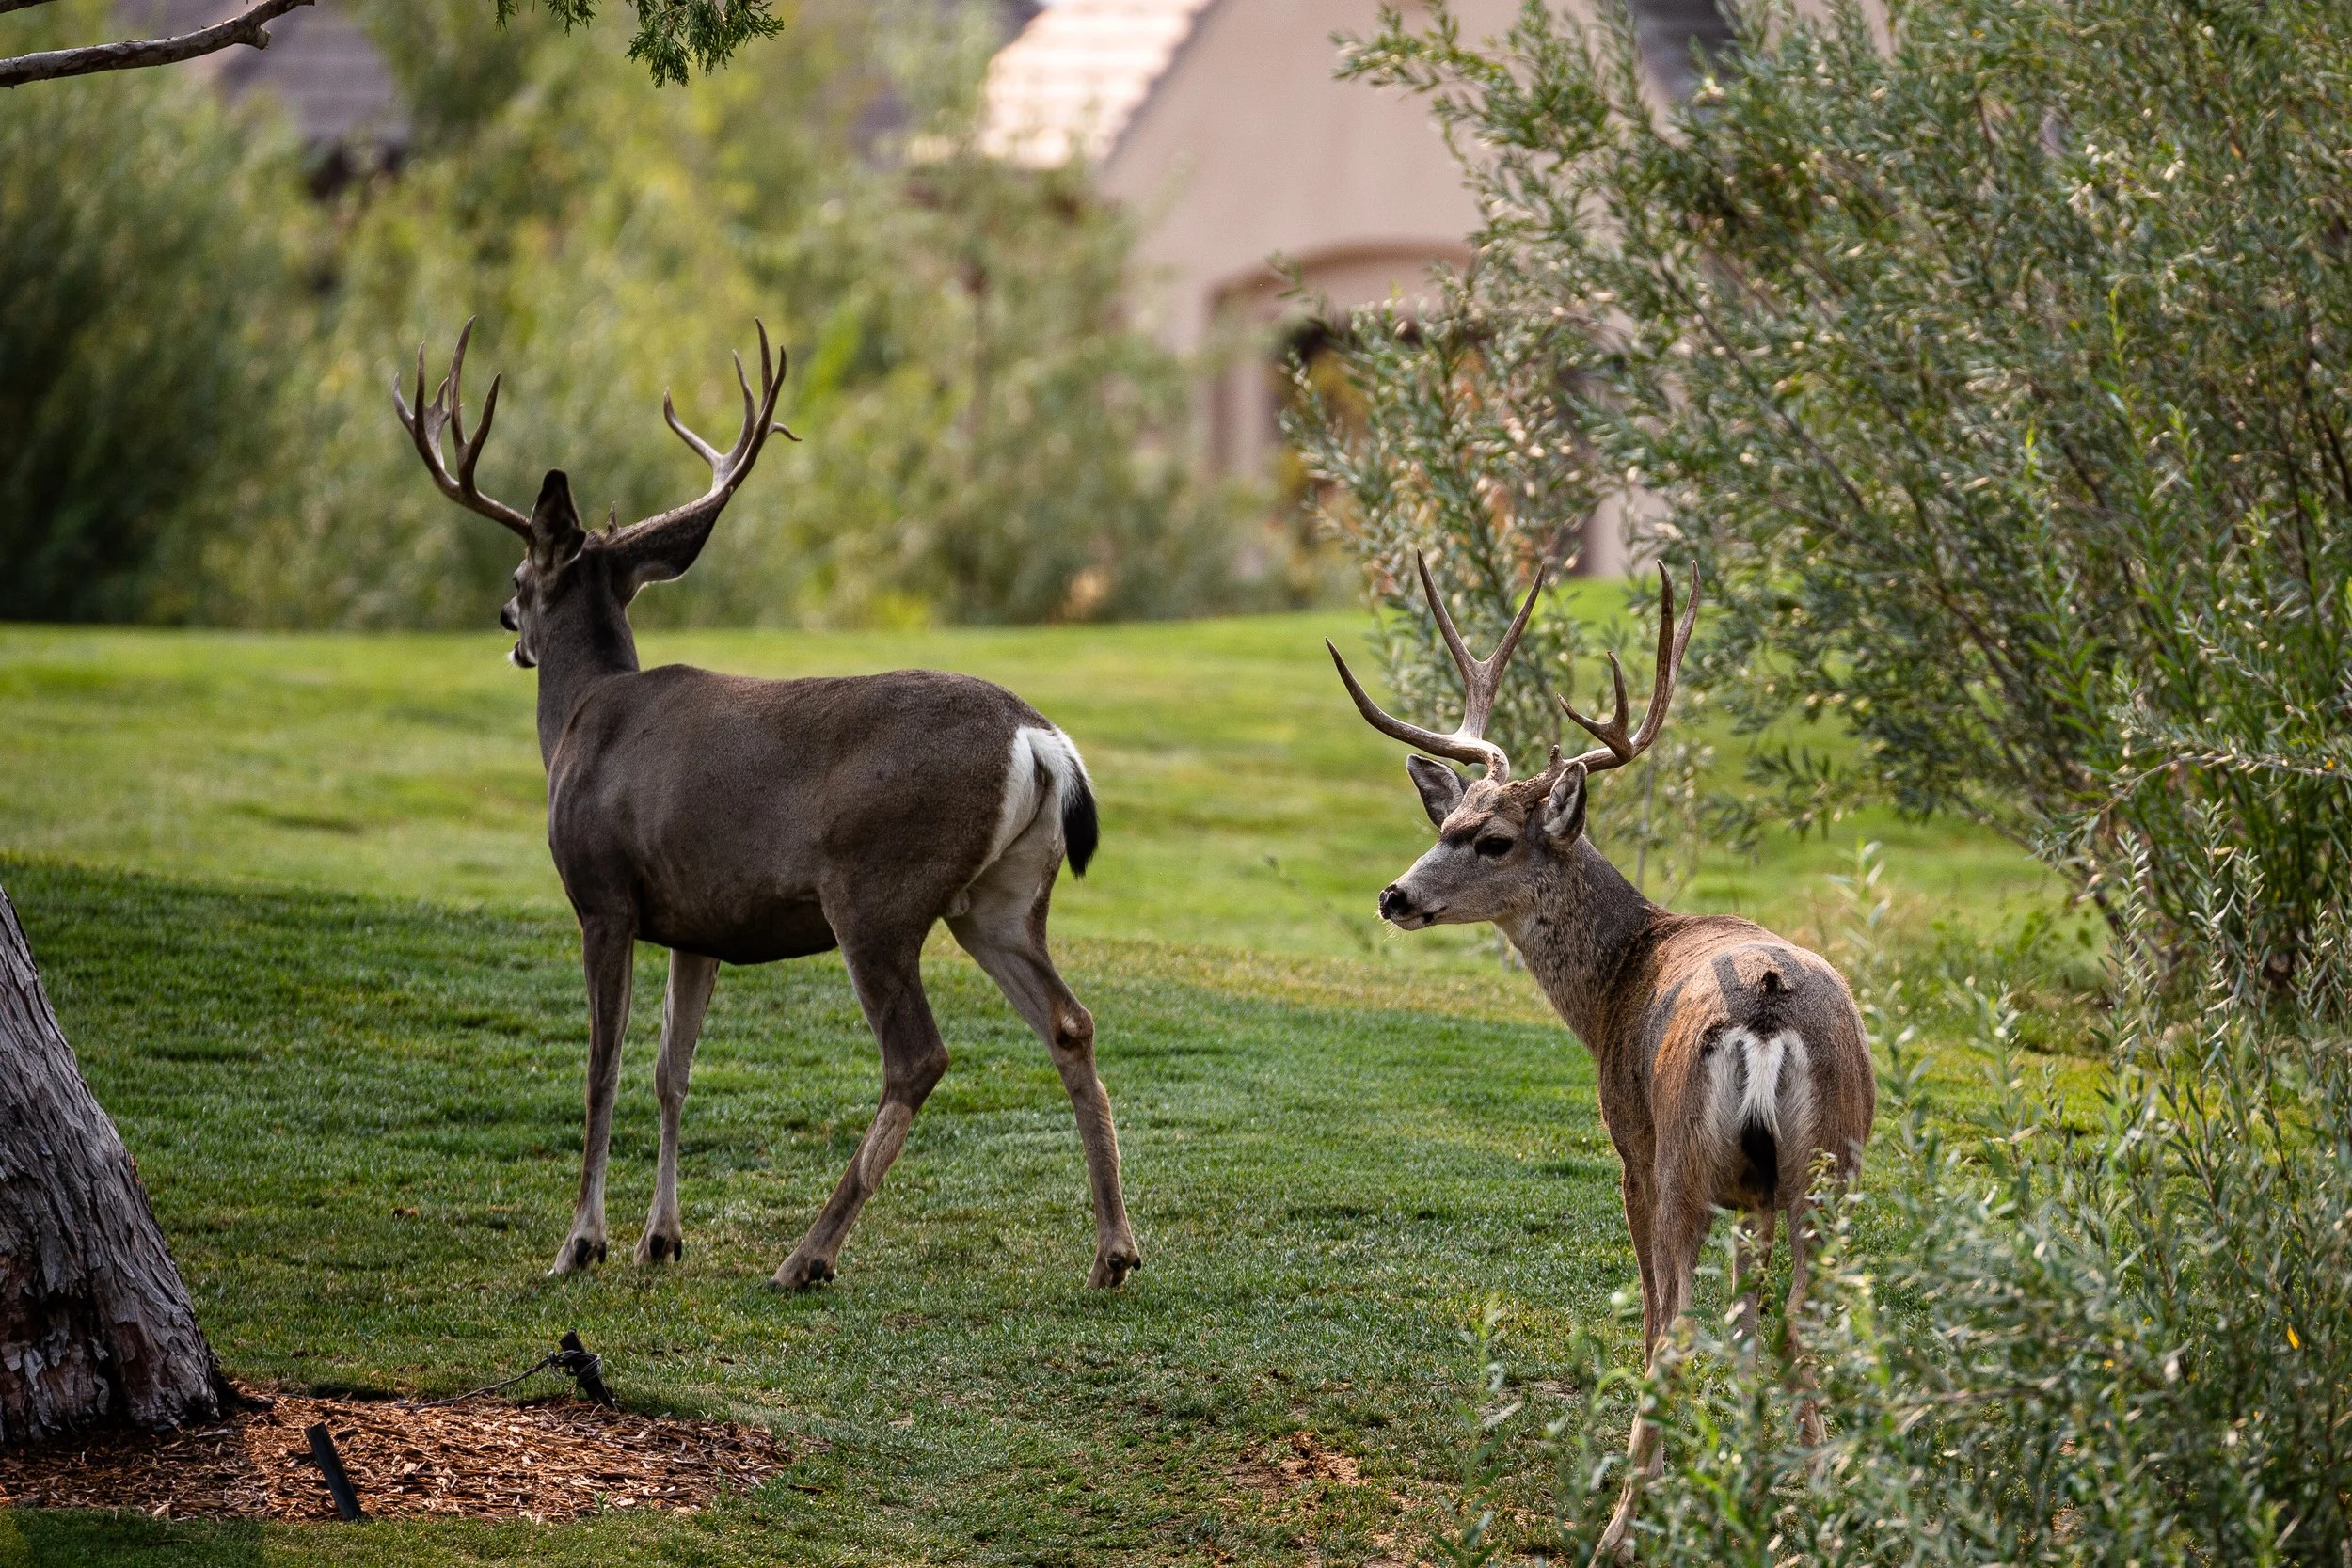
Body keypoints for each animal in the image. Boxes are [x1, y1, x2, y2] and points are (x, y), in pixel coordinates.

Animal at [391, 321, 1141, 1292]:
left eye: (522, 575)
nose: (503, 621)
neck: (579, 721)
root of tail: (1040, 740)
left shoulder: (603, 894)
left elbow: (602, 1068)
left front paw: (581, 1242)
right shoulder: (696, 919)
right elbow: (671, 1070)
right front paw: (660, 1238)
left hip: (877, 889)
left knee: (918, 1054)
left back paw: (808, 1254)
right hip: (1001, 898)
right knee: (1069, 1022)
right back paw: (1112, 1251)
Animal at [1329, 557, 1875, 1556]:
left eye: (1494, 839)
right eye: (1444, 822)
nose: (1394, 895)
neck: (1618, 972)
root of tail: (1766, 1002)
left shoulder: (1632, 1145)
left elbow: (1663, 1320)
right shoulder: (1757, 1195)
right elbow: (1751, 1331)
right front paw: (1750, 1474)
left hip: (1683, 1159)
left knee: (1676, 1331)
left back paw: (1623, 1521)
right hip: (1828, 1167)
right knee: (1797, 1325)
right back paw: (1818, 1508)